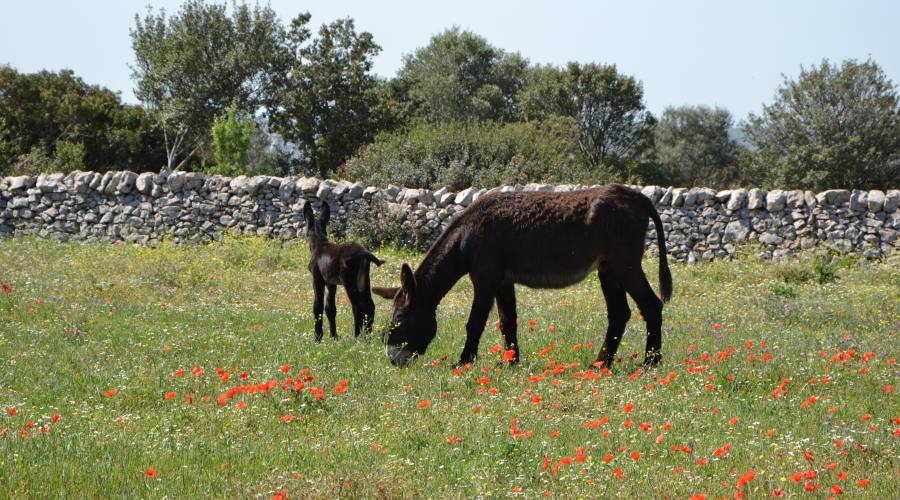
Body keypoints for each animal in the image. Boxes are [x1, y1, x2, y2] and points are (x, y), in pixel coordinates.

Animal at [306, 202, 384, 340]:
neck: (319, 244)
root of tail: (364, 253)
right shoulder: (331, 283)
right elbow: (330, 308)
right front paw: (334, 336)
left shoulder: (317, 280)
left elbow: (318, 307)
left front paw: (318, 338)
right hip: (364, 279)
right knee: (369, 306)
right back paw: (368, 336)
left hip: (349, 281)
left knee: (358, 307)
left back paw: (357, 336)